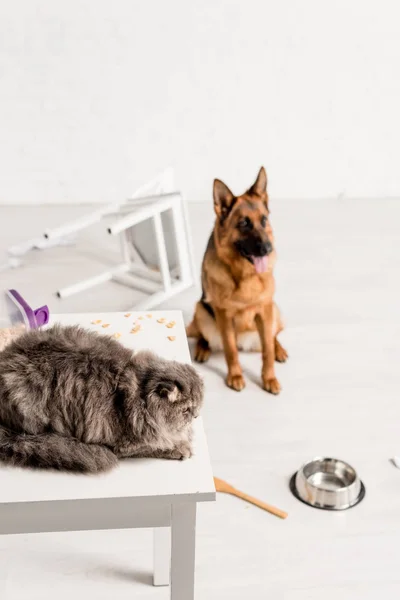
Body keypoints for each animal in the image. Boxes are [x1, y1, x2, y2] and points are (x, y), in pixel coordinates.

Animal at [0, 326, 203, 472]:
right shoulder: (125, 445)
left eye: (198, 406)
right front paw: (182, 447)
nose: (196, 416)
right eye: (186, 410)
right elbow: (159, 446)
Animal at [186, 169, 286, 394]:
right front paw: (236, 376)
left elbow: (267, 349)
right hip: (201, 310)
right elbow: (230, 350)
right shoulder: (224, 315)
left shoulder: (265, 310)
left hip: (275, 310)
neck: (246, 276)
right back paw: (202, 349)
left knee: (273, 336)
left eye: (264, 220)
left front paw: (269, 378)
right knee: (205, 336)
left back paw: (280, 350)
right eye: (243, 223)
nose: (268, 249)